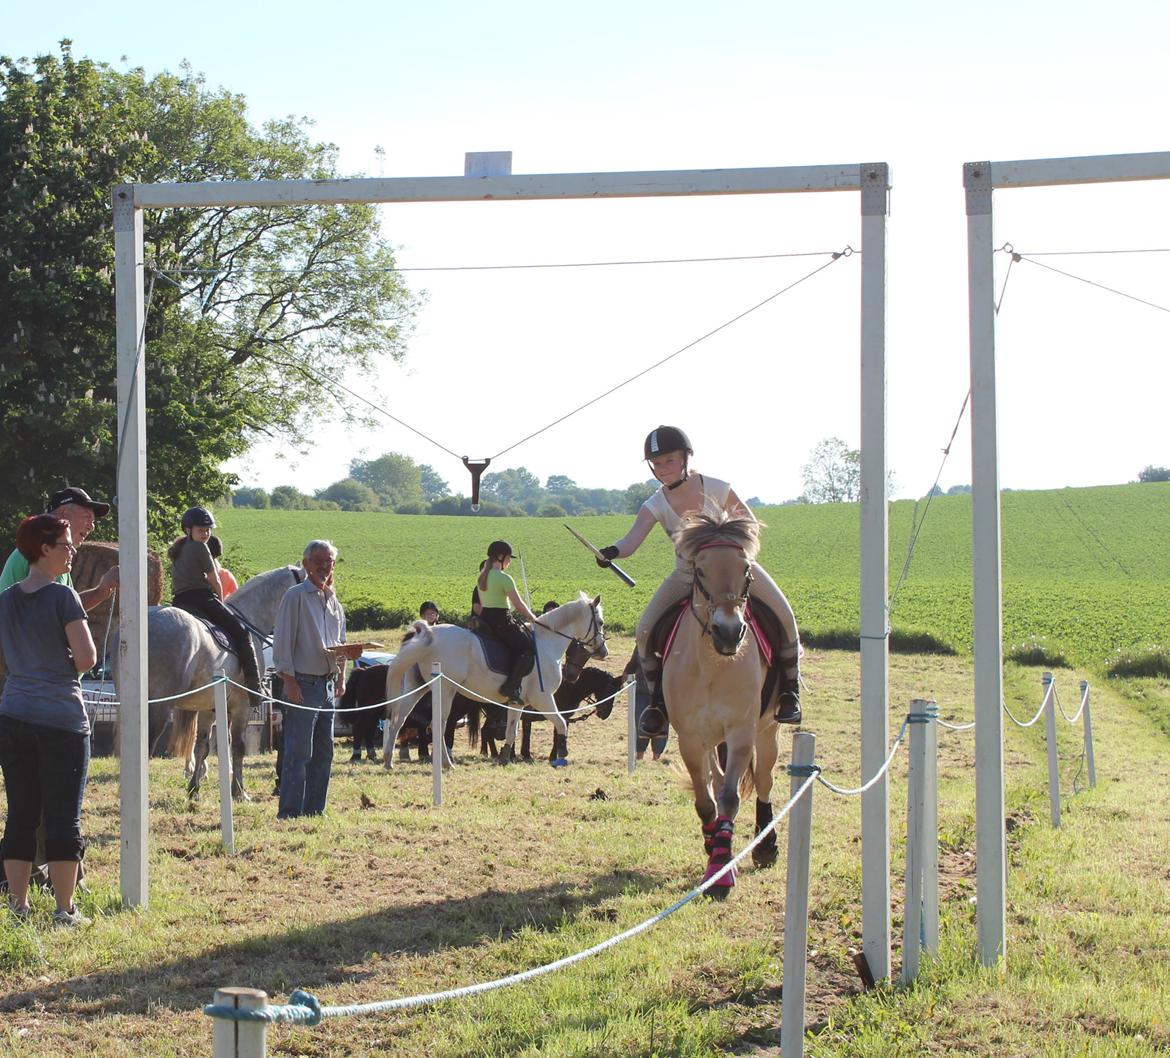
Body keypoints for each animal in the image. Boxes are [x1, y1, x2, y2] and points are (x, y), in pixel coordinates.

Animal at [381, 589, 608, 763]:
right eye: (600, 621)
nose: (603, 651)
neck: (546, 644)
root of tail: (428, 634)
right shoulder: (543, 698)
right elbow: (560, 723)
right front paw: (562, 753)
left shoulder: (517, 703)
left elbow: (512, 731)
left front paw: (504, 758)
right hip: (445, 690)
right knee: (438, 725)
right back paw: (445, 762)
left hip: (416, 687)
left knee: (398, 720)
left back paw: (388, 761)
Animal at [669, 512, 786, 898]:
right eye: (700, 569)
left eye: (746, 569)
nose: (729, 632)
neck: (712, 664)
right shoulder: (691, 738)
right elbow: (706, 800)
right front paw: (715, 853)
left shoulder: (740, 733)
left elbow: (731, 799)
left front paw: (721, 873)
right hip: (709, 740)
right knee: (716, 783)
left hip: (767, 730)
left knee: (763, 780)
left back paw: (765, 847)